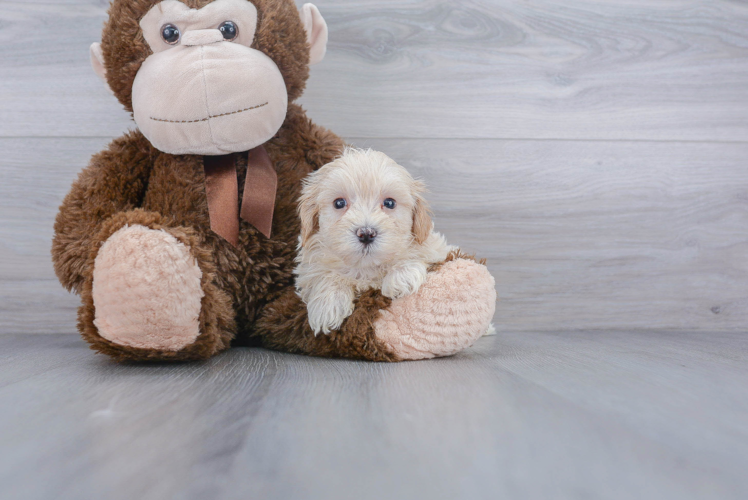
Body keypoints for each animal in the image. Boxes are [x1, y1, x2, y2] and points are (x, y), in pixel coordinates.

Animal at [296, 148, 452, 336]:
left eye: (389, 203)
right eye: (339, 203)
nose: (366, 234)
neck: (366, 267)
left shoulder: (437, 248)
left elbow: (416, 253)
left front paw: (402, 275)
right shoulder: (309, 268)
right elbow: (324, 275)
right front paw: (327, 306)